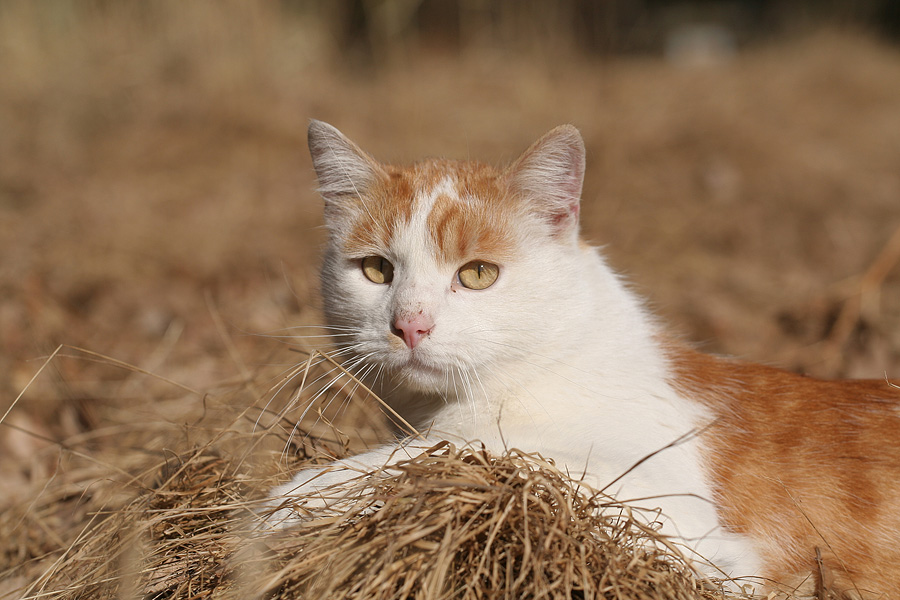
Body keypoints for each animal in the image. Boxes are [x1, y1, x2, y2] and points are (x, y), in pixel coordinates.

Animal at [266, 119, 900, 596]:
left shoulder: (673, 512)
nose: (409, 325)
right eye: (376, 270)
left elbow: (470, 455)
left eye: (477, 274)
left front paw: (291, 502)